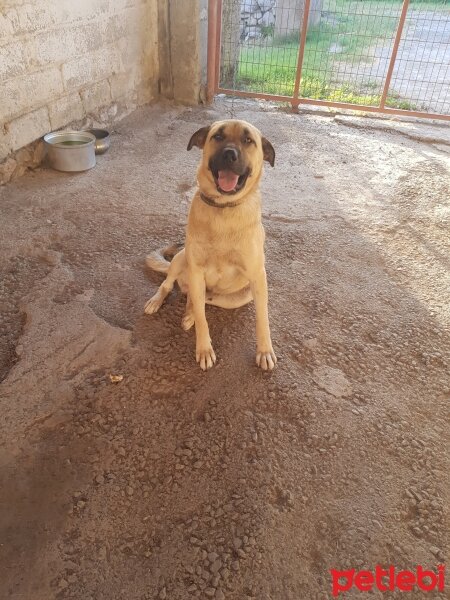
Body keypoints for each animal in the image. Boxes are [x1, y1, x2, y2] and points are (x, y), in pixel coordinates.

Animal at [146, 118, 276, 370]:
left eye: (248, 140)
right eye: (218, 136)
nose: (229, 155)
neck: (223, 209)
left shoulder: (258, 275)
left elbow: (263, 317)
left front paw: (264, 350)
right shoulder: (196, 270)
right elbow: (203, 320)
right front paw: (204, 349)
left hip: (238, 296)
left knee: (199, 300)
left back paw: (188, 315)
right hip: (181, 258)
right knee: (170, 286)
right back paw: (160, 302)